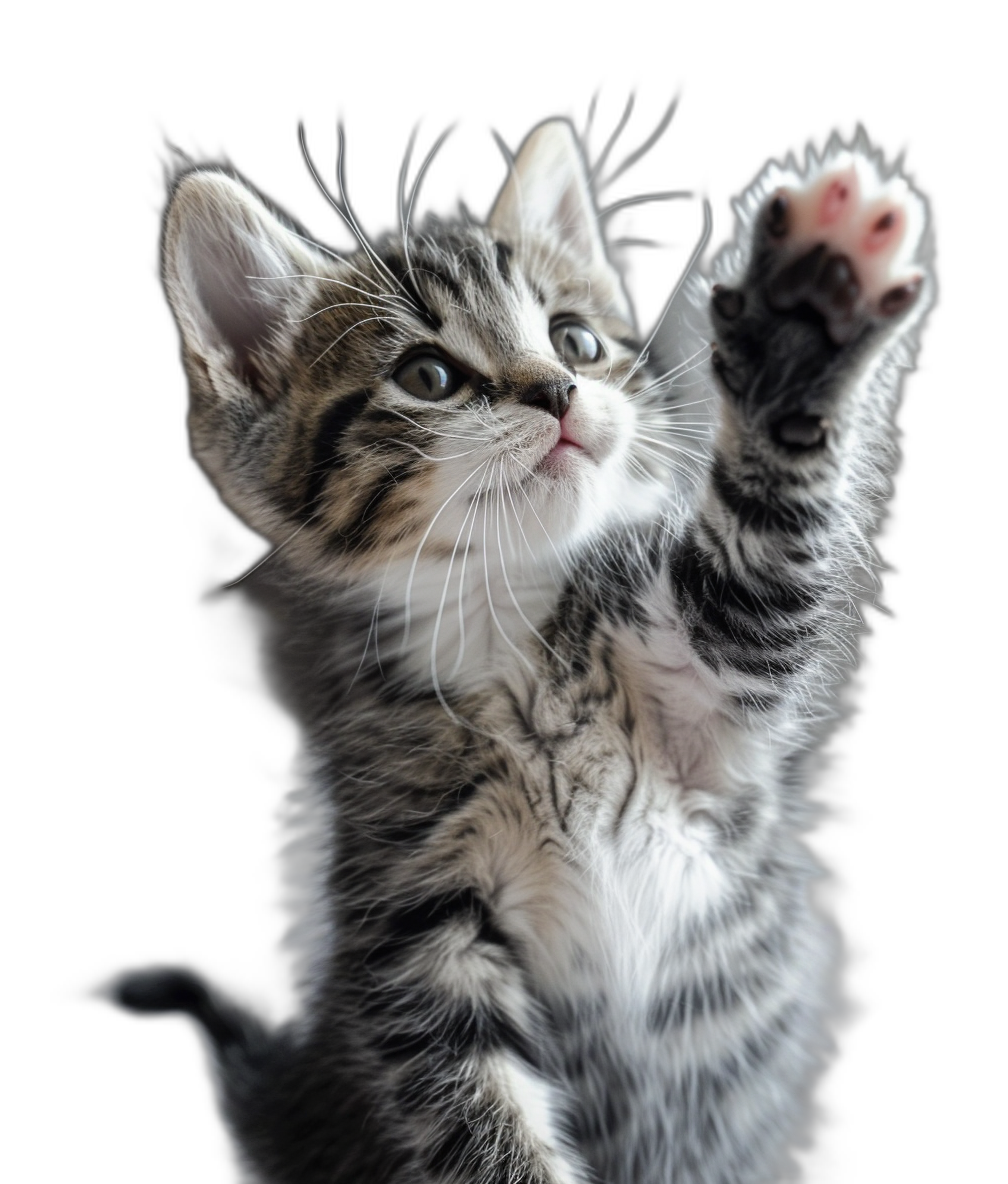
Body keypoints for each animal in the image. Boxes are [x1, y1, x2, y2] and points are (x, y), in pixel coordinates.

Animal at [100, 115, 928, 1179]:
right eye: (429, 375)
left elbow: (764, 586)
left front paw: (806, 322)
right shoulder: (409, 928)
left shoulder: (720, 691)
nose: (561, 390)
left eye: (576, 338)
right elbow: (479, 1119)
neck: (514, 637)